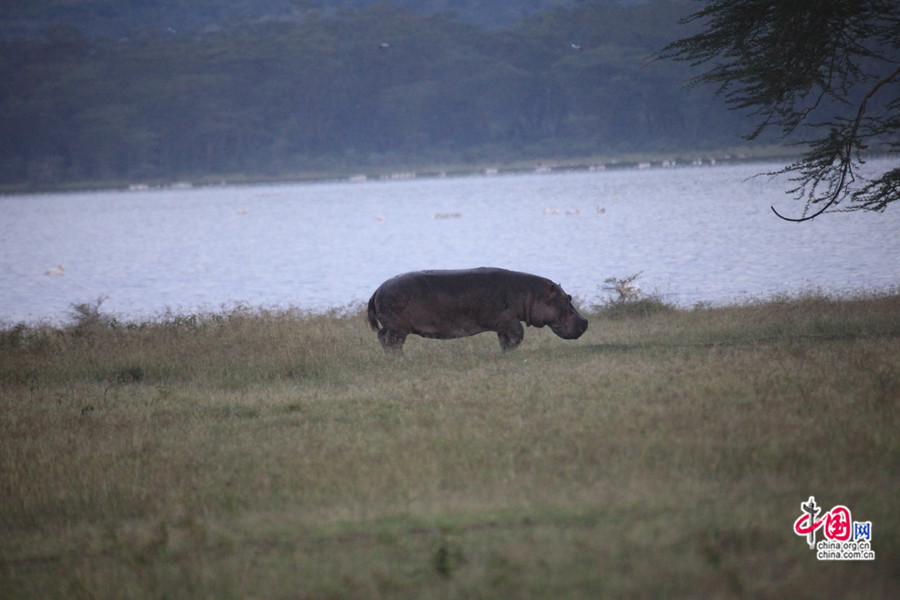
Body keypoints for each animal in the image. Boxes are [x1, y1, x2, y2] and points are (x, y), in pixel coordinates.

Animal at [366, 268, 592, 352]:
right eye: (566, 299)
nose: (585, 322)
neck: (530, 294)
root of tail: (377, 289)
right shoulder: (508, 320)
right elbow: (518, 334)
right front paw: (510, 350)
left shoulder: (503, 325)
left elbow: (505, 338)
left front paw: (505, 352)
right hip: (398, 328)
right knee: (392, 341)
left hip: (391, 326)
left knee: (381, 336)